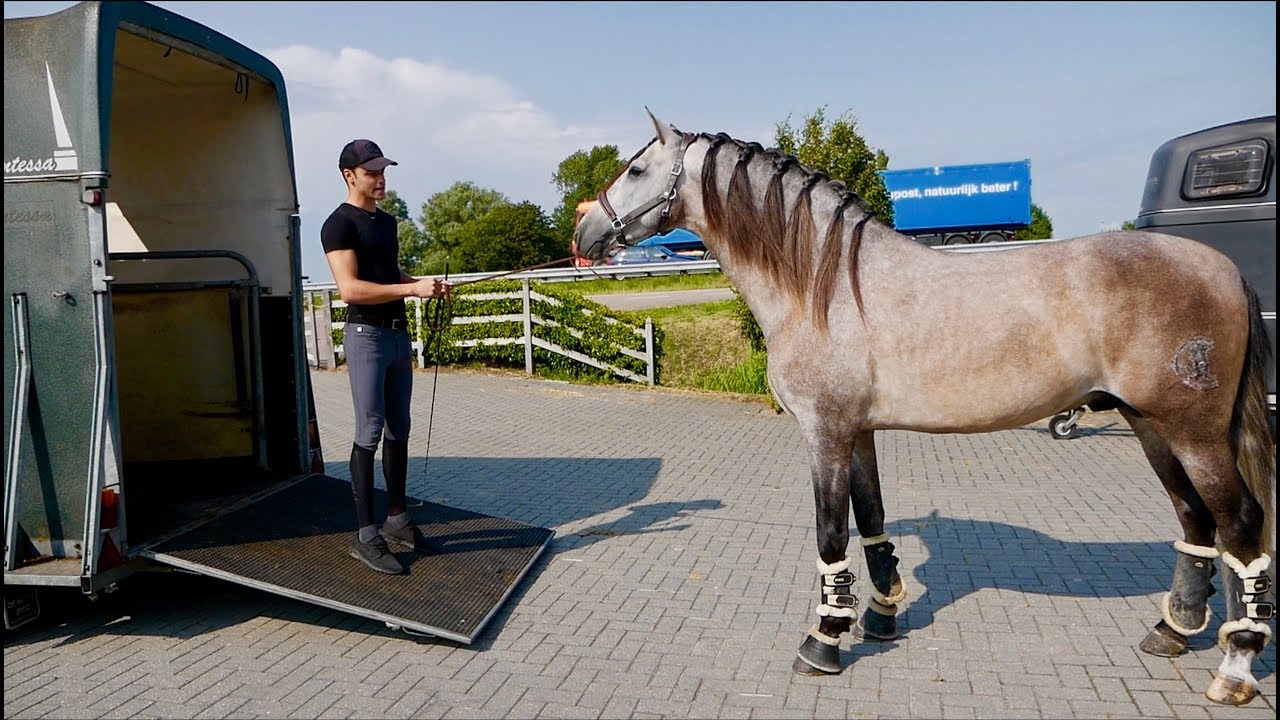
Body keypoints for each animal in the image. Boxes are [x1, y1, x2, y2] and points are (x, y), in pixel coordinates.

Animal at [573, 110, 1275, 705]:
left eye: (636, 169)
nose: (584, 231)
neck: (825, 283)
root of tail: (1223, 269)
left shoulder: (824, 432)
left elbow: (831, 531)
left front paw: (823, 642)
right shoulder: (857, 433)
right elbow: (872, 518)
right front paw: (881, 613)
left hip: (1194, 433)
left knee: (1240, 522)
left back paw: (1235, 666)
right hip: (1152, 425)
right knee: (1195, 519)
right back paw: (1173, 631)